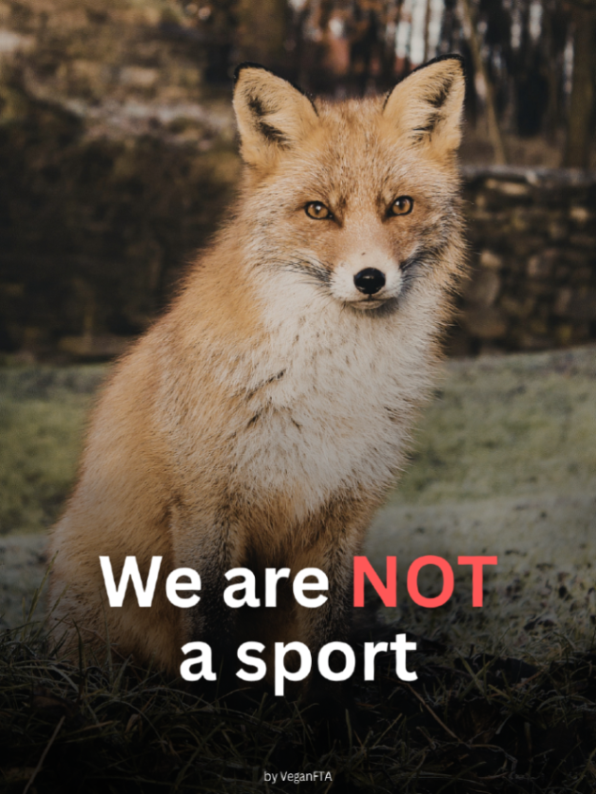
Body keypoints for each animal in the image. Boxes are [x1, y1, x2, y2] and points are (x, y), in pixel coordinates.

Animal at [48, 56, 467, 686]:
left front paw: (328, 705)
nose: (370, 279)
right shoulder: (208, 504)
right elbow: (211, 630)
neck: (331, 384)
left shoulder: (345, 510)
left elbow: (327, 637)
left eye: (400, 205)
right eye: (318, 210)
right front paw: (216, 704)